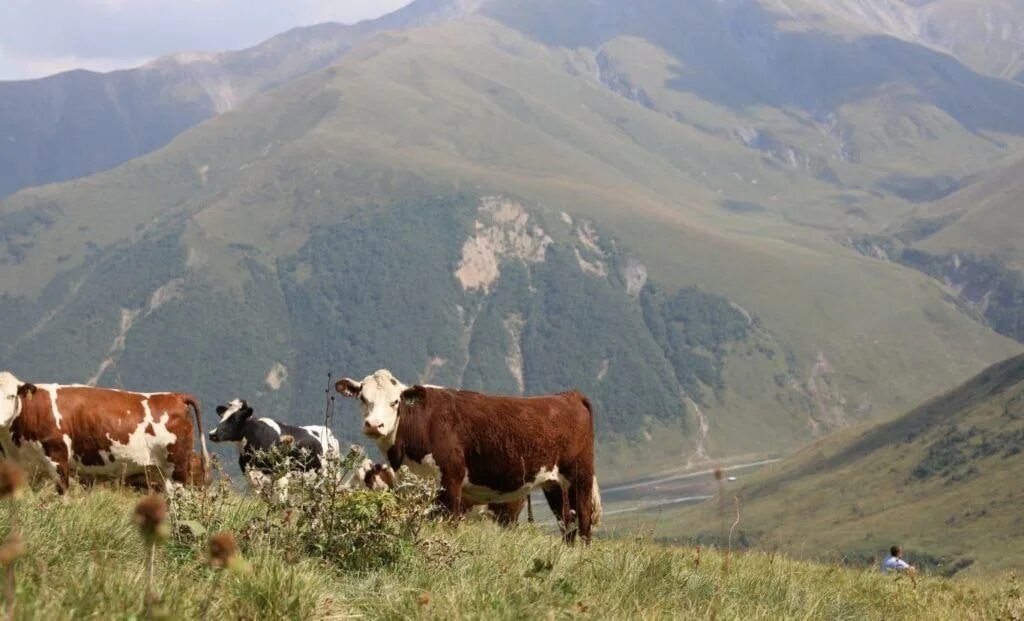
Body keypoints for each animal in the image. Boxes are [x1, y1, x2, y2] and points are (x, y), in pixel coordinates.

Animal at [0, 373, 209, 493]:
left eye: (11, 396)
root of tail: (175, 396)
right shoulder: (20, 466)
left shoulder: (57, 458)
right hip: (160, 473)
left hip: (177, 470)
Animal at [339, 373, 602, 541]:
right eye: (363, 398)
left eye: (395, 402)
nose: (374, 425)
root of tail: (569, 396)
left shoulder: (451, 480)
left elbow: (449, 525)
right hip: (554, 485)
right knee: (567, 524)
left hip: (579, 477)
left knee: (583, 523)